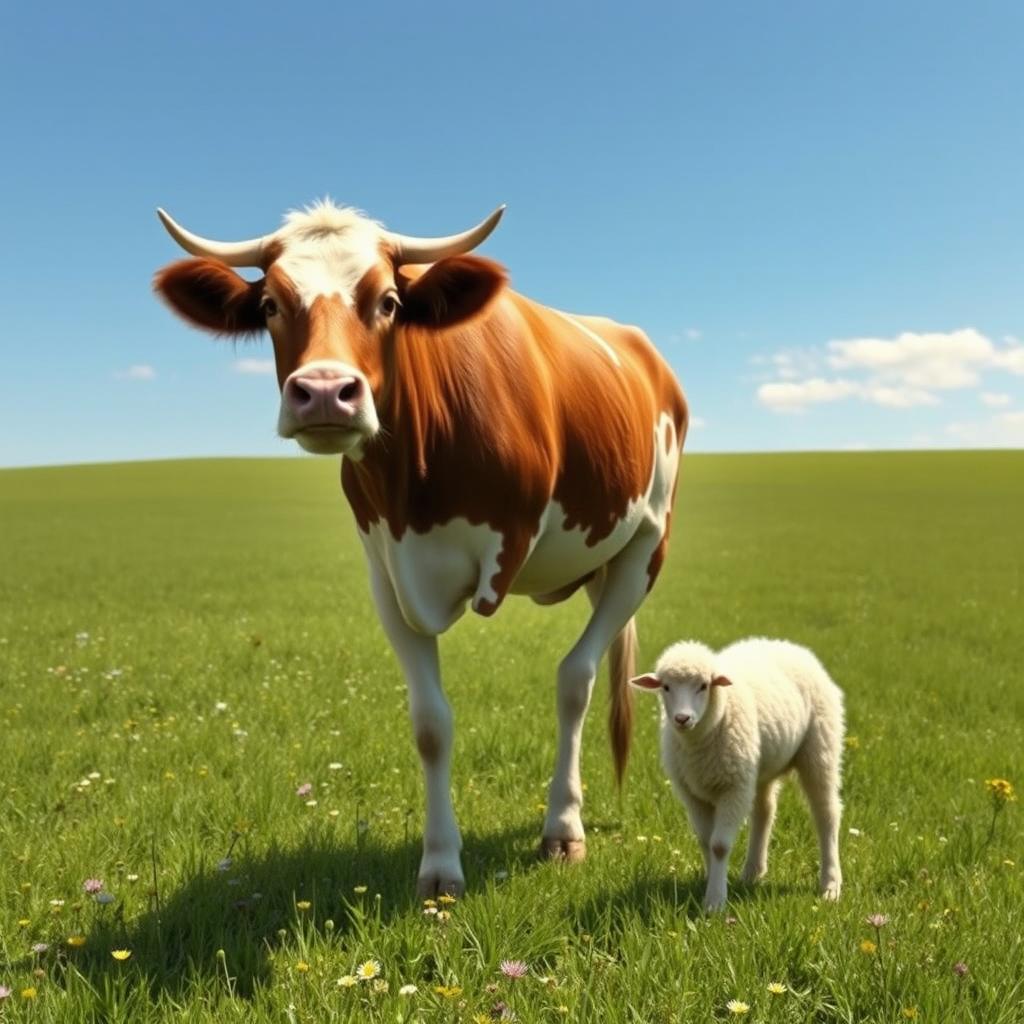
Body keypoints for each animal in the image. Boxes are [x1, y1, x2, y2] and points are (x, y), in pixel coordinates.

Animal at [153, 201, 688, 896]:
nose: (324, 392)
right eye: (270, 302)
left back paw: (562, 826)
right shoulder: (388, 574)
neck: (419, 473)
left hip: (646, 547)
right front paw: (439, 864)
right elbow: (430, 723)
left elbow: (569, 680)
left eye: (387, 301)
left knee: (577, 677)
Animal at [631, 637, 844, 911]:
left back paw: (830, 885)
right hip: (760, 766)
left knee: (826, 813)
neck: (698, 742)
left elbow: (719, 846)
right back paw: (753, 873)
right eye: (666, 687)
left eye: (704, 686)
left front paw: (715, 901)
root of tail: (791, 646)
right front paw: (710, 881)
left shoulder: (733, 788)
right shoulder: (692, 793)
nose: (682, 718)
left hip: (820, 749)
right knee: (765, 811)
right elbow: (705, 840)